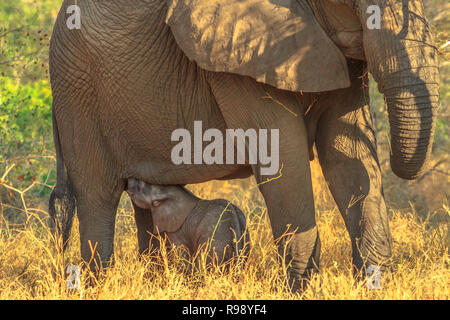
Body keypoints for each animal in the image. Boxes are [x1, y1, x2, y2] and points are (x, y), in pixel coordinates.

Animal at [49, 0, 440, 290]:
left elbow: (348, 151)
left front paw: (376, 285)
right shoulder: (237, 57)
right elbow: (283, 156)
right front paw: (301, 289)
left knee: (147, 198)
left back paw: (152, 280)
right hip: (76, 90)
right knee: (98, 195)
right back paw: (98, 284)